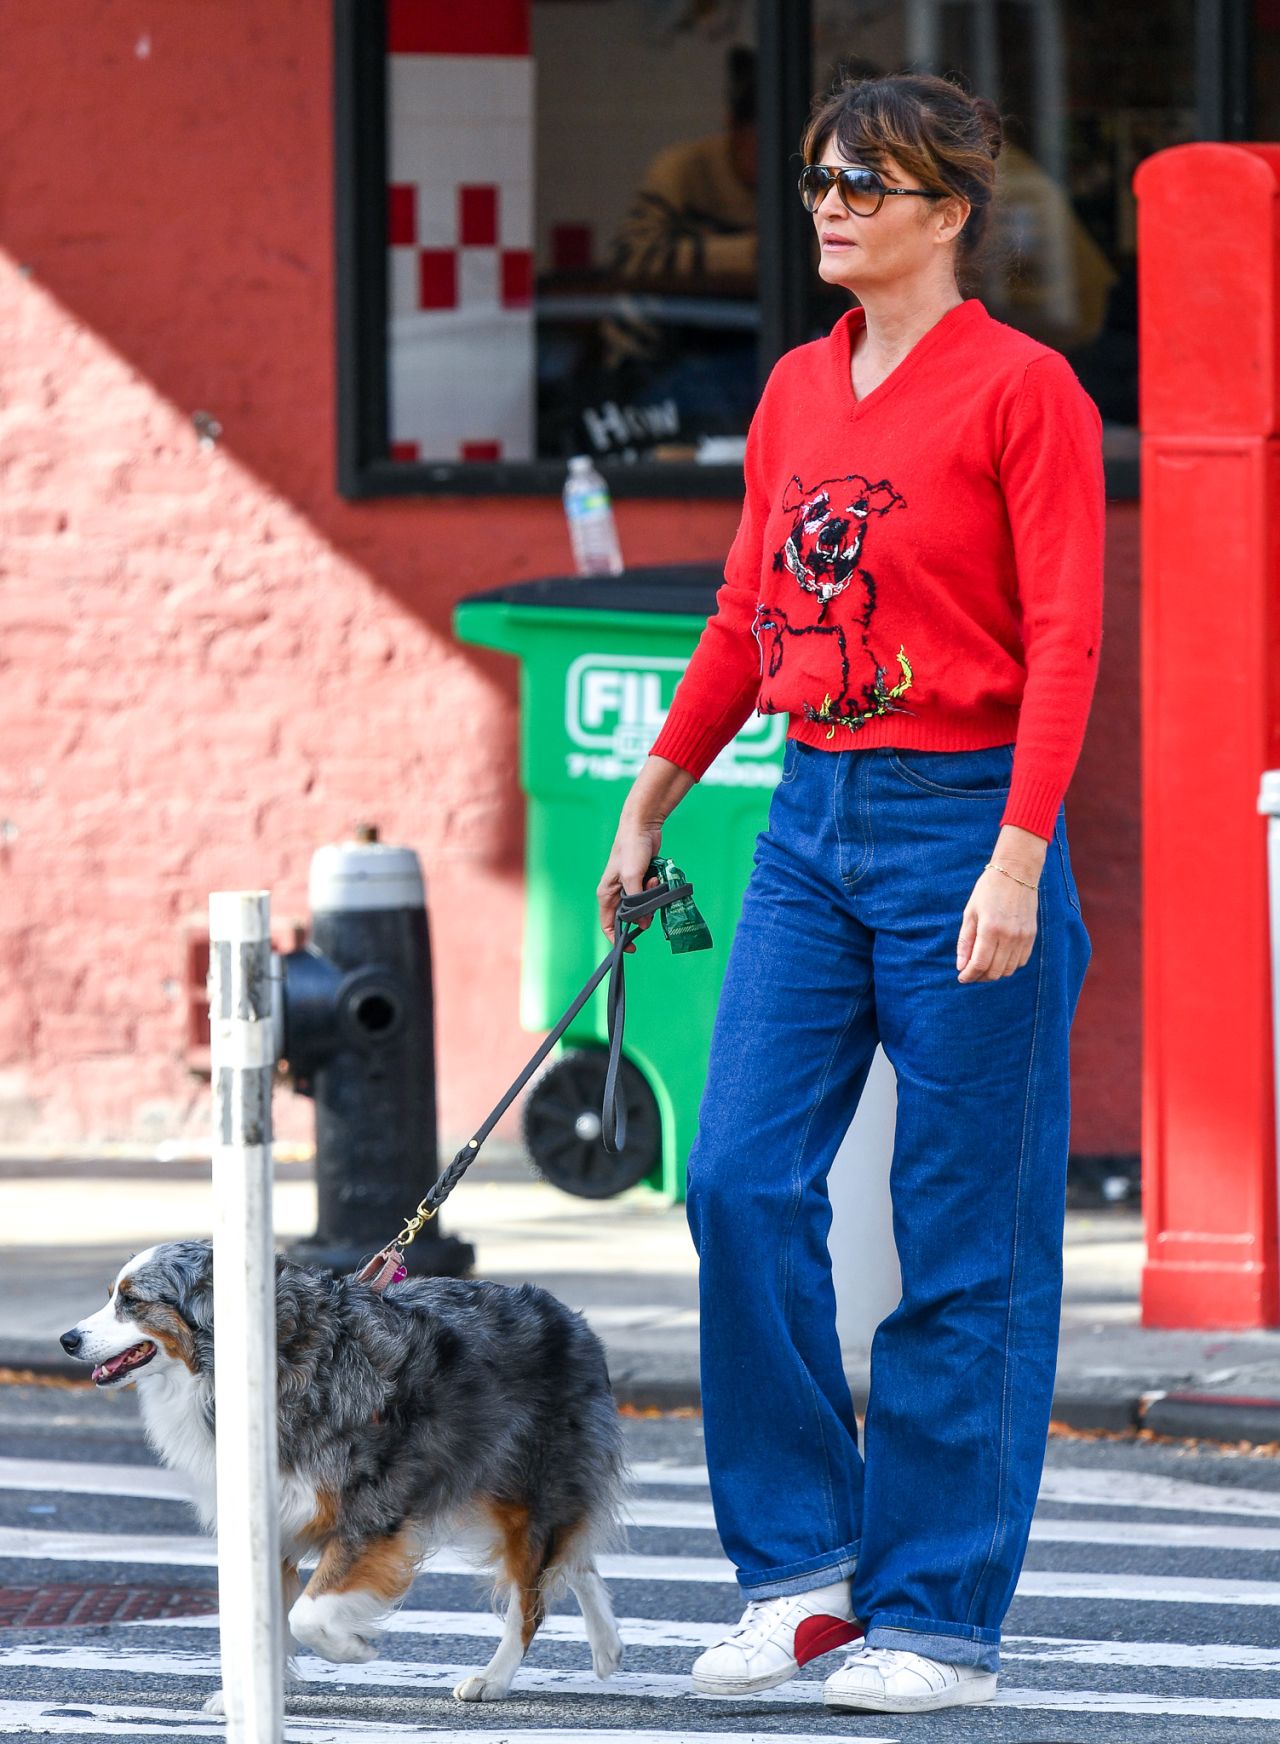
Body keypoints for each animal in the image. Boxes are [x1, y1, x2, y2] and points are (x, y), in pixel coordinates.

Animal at [60, 1241, 631, 1702]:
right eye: (111, 1295)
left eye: (132, 1301)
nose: (67, 1339)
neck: (274, 1357)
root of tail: (576, 1322)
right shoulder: (272, 1520)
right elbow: (271, 1621)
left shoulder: (370, 1514)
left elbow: (306, 1615)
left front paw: (352, 1650)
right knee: (572, 1561)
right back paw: (607, 1646)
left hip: (531, 1489)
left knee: (532, 1597)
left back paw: (493, 1679)